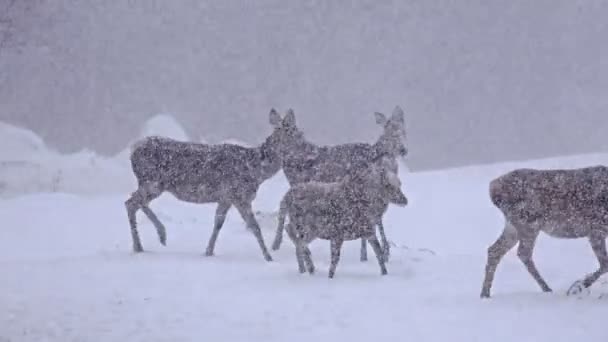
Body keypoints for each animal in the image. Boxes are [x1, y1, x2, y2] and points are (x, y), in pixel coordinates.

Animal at [123, 111, 290, 260]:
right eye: (290, 132)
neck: (257, 170)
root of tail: (133, 149)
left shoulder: (225, 198)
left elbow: (218, 223)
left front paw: (208, 252)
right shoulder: (239, 195)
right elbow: (254, 226)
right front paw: (268, 257)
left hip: (152, 184)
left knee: (136, 201)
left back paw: (159, 236)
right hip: (152, 182)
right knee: (131, 203)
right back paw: (141, 245)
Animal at [268, 107, 406, 262]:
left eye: (404, 132)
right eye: (273, 131)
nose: (403, 150)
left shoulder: (299, 183)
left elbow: (283, 208)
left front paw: (277, 244)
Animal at [276, 152, 408, 278]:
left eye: (400, 183)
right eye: (388, 185)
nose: (405, 200)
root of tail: (286, 196)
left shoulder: (368, 231)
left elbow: (378, 252)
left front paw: (385, 273)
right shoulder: (338, 233)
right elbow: (335, 260)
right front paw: (330, 277)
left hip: (306, 228)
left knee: (292, 234)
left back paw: (303, 269)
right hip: (308, 227)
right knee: (295, 237)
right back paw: (309, 266)